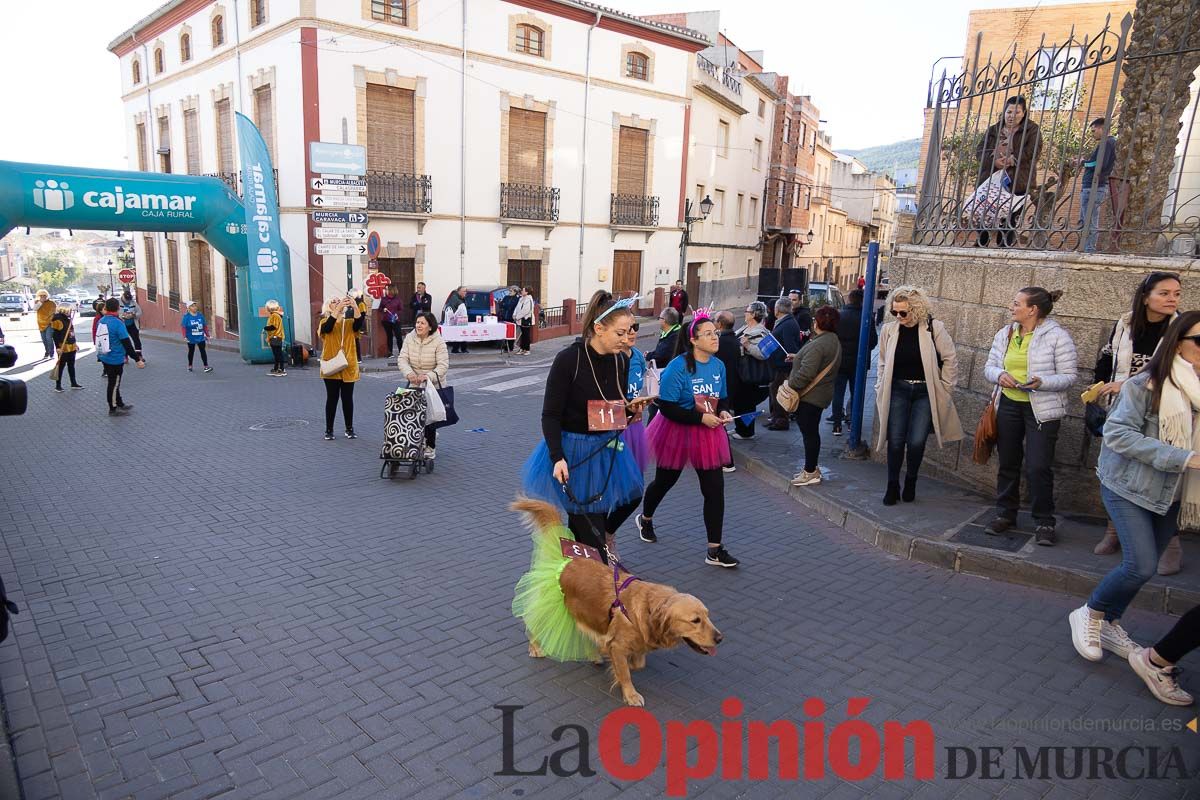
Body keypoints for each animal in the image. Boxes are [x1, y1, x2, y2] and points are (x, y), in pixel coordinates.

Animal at [508, 501, 720, 705]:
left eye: (708, 616)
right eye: (695, 620)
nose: (720, 638)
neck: (647, 609)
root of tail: (566, 561)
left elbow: (637, 662)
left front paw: (625, 661)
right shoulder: (618, 645)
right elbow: (625, 672)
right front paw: (631, 694)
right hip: (550, 607)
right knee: (534, 623)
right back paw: (536, 647)